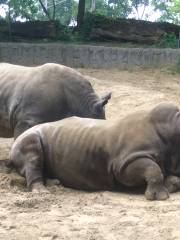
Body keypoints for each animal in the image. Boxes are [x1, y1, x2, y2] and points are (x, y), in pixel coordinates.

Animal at [8, 102, 180, 200]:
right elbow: (152, 168)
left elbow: (167, 174)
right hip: (27, 138)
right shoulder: (125, 162)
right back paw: (43, 192)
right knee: (32, 156)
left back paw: (55, 183)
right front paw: (161, 196)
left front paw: (171, 184)